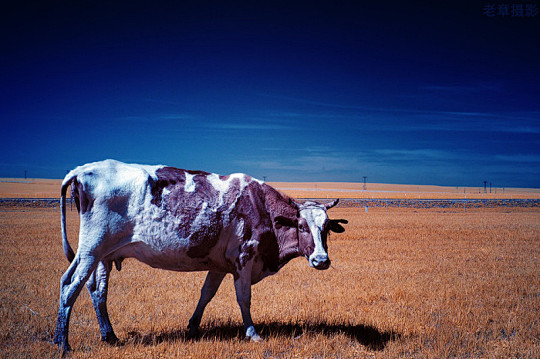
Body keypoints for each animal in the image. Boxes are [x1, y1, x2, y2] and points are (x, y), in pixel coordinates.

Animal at [53, 160, 346, 352]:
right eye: (302, 226)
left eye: (326, 228)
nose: (321, 260)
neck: (259, 205)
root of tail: (82, 170)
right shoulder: (244, 259)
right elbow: (244, 299)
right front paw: (252, 333)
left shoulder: (220, 265)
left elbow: (206, 294)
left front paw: (193, 327)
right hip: (91, 250)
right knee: (69, 285)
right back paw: (63, 343)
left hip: (103, 256)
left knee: (97, 290)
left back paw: (109, 336)